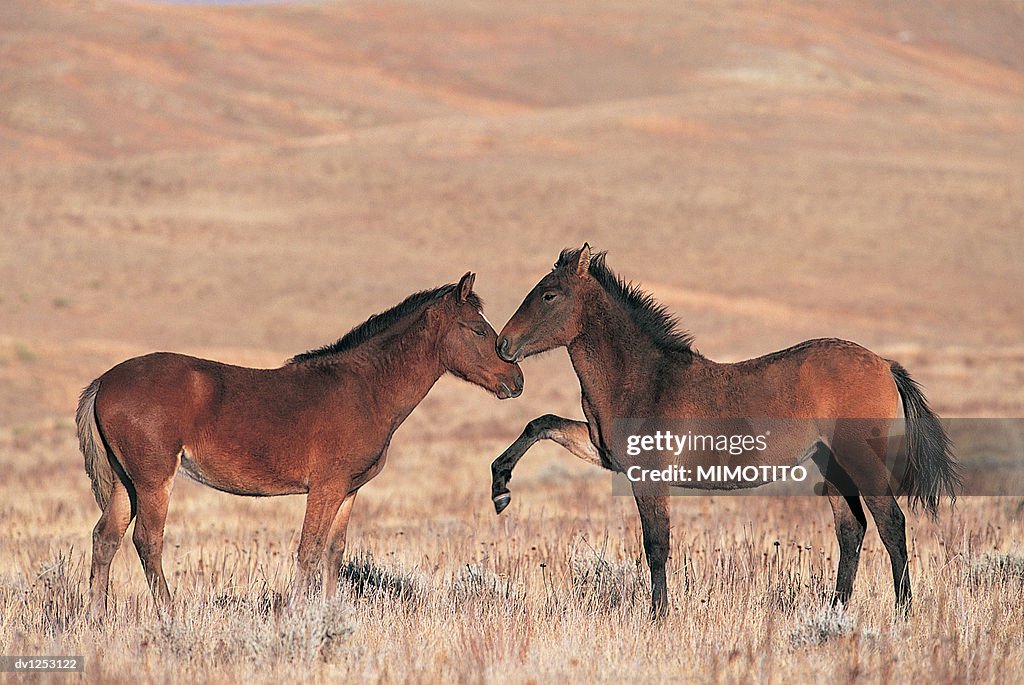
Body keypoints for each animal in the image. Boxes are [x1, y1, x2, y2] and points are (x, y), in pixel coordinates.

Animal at [77, 272, 523, 620]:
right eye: (478, 329)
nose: (516, 380)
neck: (367, 389)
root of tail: (104, 382)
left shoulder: (348, 491)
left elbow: (334, 553)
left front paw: (330, 610)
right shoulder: (325, 487)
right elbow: (309, 550)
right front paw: (297, 614)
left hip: (126, 483)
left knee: (106, 538)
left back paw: (97, 618)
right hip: (154, 481)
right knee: (147, 541)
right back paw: (169, 615)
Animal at [490, 244, 959, 618]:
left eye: (549, 294)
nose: (502, 345)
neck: (644, 376)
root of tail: (884, 364)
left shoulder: (648, 478)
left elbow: (656, 546)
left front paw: (658, 616)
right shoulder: (603, 452)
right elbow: (542, 423)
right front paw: (500, 487)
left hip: (862, 464)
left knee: (891, 524)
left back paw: (902, 612)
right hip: (833, 467)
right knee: (851, 530)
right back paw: (834, 611)